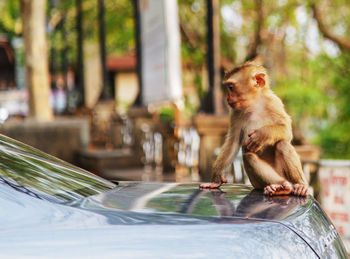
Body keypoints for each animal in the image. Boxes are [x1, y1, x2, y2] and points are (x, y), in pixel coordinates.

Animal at [200, 59, 308, 197]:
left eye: (231, 87)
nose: (227, 98)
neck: (254, 104)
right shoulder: (235, 113)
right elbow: (233, 142)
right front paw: (216, 178)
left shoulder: (274, 102)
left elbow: (287, 131)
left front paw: (261, 135)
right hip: (257, 183)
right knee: (249, 157)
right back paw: (279, 186)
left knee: (283, 144)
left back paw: (300, 185)